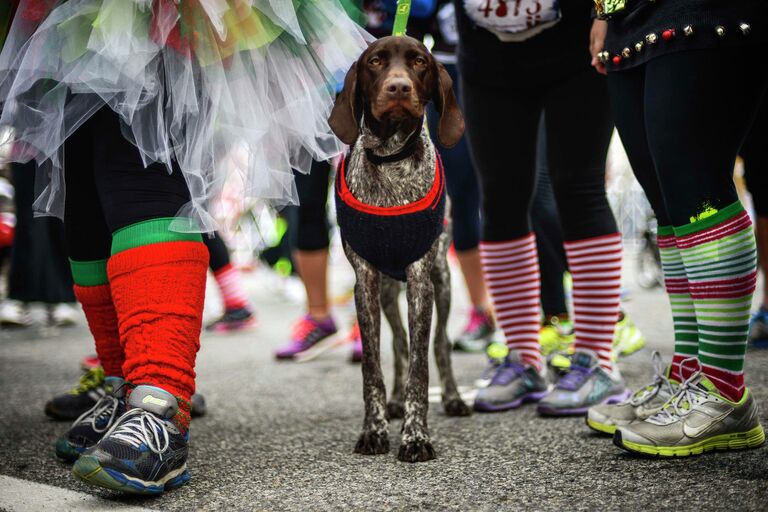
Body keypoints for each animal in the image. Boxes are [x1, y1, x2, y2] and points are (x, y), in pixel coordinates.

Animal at [328, 34, 468, 462]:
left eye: (420, 62)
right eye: (375, 62)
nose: (398, 88)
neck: (391, 160)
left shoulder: (421, 278)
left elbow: (422, 365)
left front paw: (416, 437)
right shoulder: (366, 281)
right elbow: (372, 363)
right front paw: (374, 429)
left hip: (442, 280)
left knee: (439, 345)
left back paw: (453, 398)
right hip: (390, 291)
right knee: (398, 341)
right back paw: (394, 401)